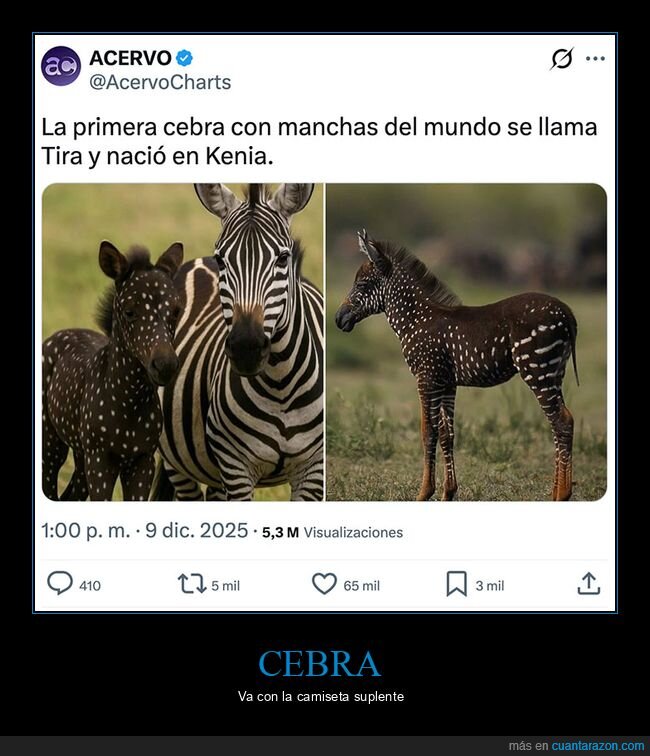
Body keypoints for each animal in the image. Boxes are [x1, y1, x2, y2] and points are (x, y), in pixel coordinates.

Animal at [156, 183, 323, 501]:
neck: (281, 386)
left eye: (283, 258)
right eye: (222, 259)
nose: (247, 348)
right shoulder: (235, 468)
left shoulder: (314, 470)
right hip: (178, 462)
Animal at [335, 230, 579, 501]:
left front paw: (424, 492)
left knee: (562, 422)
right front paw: (448, 492)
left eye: (362, 285)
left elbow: (427, 431)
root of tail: (566, 312)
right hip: (554, 373)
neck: (415, 319)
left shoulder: (426, 378)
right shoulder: (447, 382)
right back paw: (555, 492)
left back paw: (562, 494)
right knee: (560, 423)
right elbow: (446, 434)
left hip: (538, 370)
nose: (338, 319)